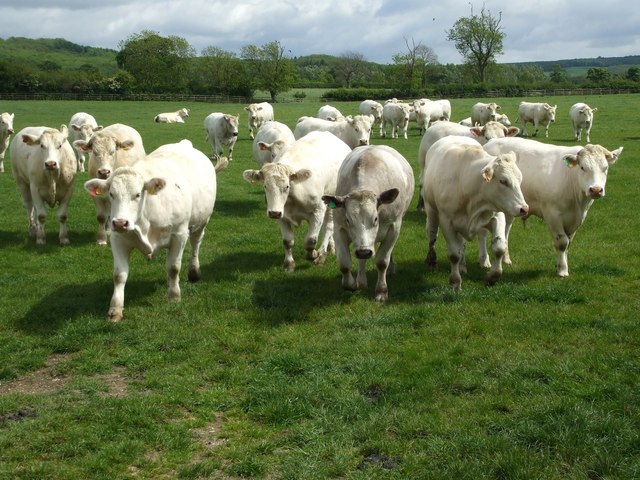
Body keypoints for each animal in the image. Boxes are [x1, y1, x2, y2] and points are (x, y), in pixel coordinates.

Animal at [84, 138, 221, 322]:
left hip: (201, 221)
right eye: (111, 194)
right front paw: (115, 309)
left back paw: (194, 271)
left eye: (137, 194)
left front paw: (174, 296)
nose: (120, 223)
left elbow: (173, 267)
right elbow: (119, 275)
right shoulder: (118, 239)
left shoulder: (179, 235)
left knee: (196, 244)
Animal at [242, 131, 350, 272]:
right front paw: (289, 264)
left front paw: (314, 254)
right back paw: (331, 247)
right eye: (265, 186)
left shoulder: (318, 210)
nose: (273, 213)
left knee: (329, 226)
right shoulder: (282, 216)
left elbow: (310, 240)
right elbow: (288, 241)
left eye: (287, 186)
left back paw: (322, 253)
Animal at [320, 144, 416, 302]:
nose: (364, 251)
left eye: (375, 219)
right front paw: (352, 284)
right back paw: (361, 280)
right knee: (361, 259)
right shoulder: (339, 229)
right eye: (348, 220)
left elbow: (382, 261)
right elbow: (344, 263)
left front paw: (381, 291)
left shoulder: (394, 228)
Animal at [422, 136, 528, 292]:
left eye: (520, 179)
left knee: (467, 242)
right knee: (432, 236)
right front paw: (455, 282)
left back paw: (465, 265)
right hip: (431, 212)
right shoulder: (446, 222)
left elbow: (499, 248)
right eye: (503, 181)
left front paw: (492, 277)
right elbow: (454, 254)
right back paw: (432, 262)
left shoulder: (497, 215)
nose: (524, 208)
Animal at [482, 137, 624, 276]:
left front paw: (561, 264)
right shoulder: (552, 214)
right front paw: (562, 270)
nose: (596, 190)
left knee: (506, 230)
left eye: (605, 168)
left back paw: (506, 259)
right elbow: (562, 243)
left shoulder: (577, 219)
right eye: (583, 167)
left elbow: (568, 243)